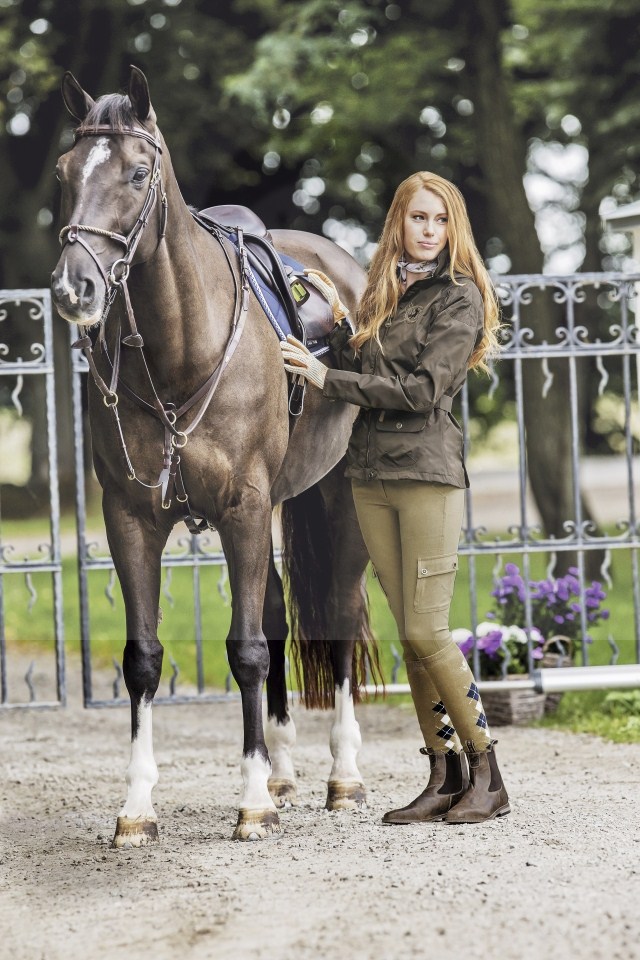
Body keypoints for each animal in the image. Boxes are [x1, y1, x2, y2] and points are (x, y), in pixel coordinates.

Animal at [51, 67, 380, 844]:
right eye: (64, 172)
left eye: (138, 173)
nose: (74, 287)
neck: (180, 353)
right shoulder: (129, 517)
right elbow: (144, 658)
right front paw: (137, 806)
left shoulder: (244, 508)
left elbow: (248, 650)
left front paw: (252, 798)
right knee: (281, 615)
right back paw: (286, 768)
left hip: (337, 495)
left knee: (338, 616)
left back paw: (341, 775)